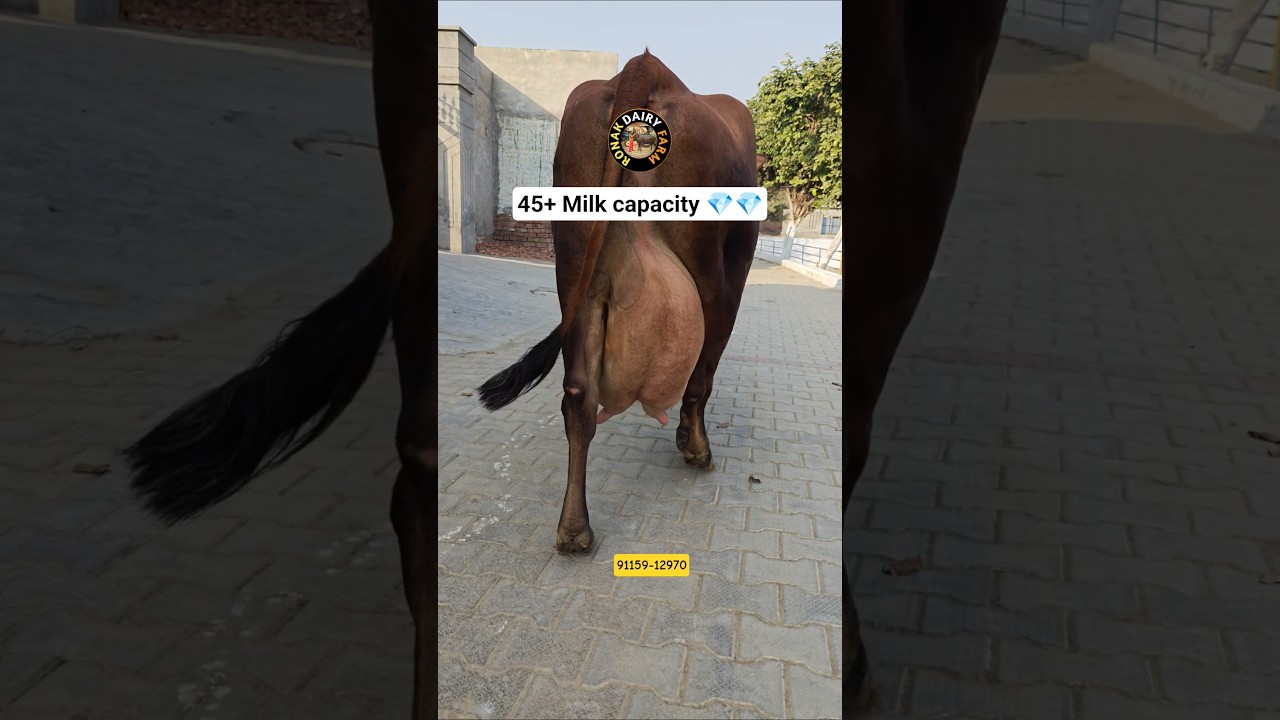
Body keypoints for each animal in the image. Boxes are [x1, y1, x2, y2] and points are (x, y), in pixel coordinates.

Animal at [476, 50, 763, 554]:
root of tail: (643, 67)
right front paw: (689, 441)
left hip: (575, 269)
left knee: (578, 396)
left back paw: (574, 530)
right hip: (712, 273)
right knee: (701, 367)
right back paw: (698, 449)